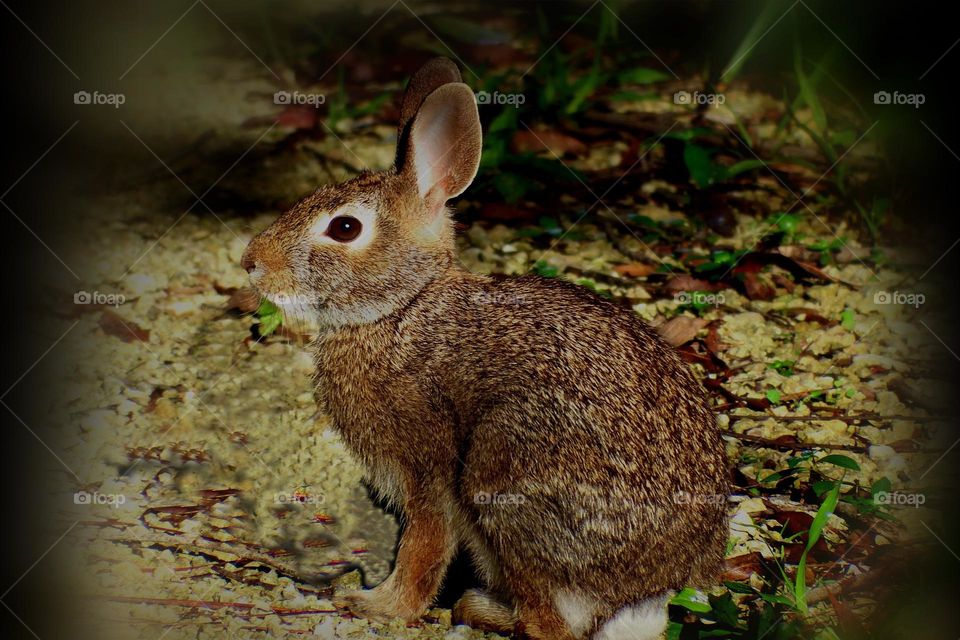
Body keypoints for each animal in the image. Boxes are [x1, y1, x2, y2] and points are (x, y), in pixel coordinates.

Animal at [241, 57, 729, 640]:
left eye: (344, 227)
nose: (251, 262)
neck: (402, 308)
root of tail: (649, 589)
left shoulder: (426, 464)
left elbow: (425, 545)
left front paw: (378, 606)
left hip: (503, 473)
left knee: (549, 623)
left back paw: (477, 607)